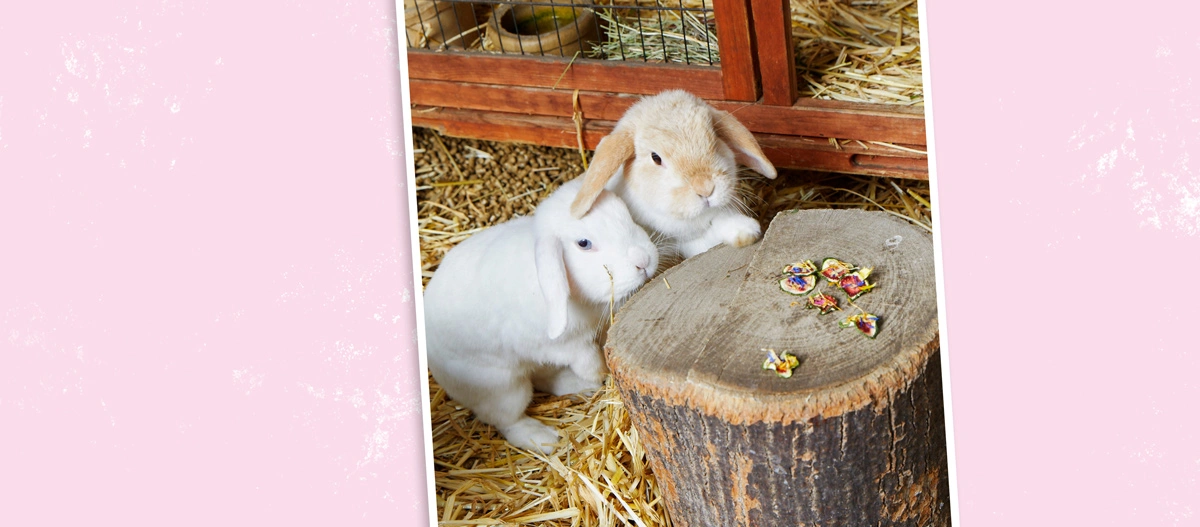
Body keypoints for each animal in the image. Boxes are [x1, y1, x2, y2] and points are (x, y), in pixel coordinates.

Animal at [423, 178, 659, 454]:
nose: (644, 261)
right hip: (504, 389)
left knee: (545, 380)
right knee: (509, 420)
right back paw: (545, 438)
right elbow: (587, 359)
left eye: (625, 213)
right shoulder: (561, 346)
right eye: (583, 243)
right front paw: (600, 375)